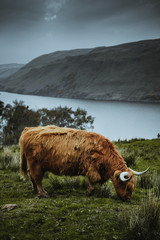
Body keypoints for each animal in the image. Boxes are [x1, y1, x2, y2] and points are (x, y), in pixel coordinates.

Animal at [19, 125, 149, 201]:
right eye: (125, 185)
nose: (127, 198)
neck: (105, 154)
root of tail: (28, 129)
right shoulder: (92, 167)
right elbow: (94, 179)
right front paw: (89, 192)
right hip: (36, 164)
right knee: (37, 178)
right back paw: (43, 193)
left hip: (36, 164)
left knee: (32, 175)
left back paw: (35, 190)